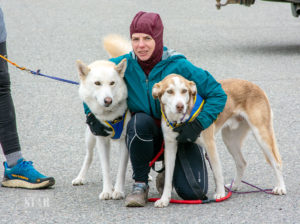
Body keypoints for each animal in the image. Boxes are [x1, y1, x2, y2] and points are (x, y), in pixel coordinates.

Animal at [72, 58, 130, 200]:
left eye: (112, 83)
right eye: (97, 83)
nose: (108, 100)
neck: (111, 115)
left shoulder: (124, 140)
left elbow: (122, 169)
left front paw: (118, 191)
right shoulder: (102, 140)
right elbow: (106, 169)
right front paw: (107, 191)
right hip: (90, 137)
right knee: (89, 156)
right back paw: (80, 177)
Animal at [152, 74, 286, 207]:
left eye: (184, 91)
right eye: (169, 91)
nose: (180, 106)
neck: (181, 122)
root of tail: (256, 86)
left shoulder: (210, 144)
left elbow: (217, 172)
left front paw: (220, 193)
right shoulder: (170, 148)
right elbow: (168, 178)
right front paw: (164, 199)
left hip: (261, 135)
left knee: (277, 162)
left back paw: (280, 187)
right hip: (230, 140)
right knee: (242, 163)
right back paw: (234, 186)